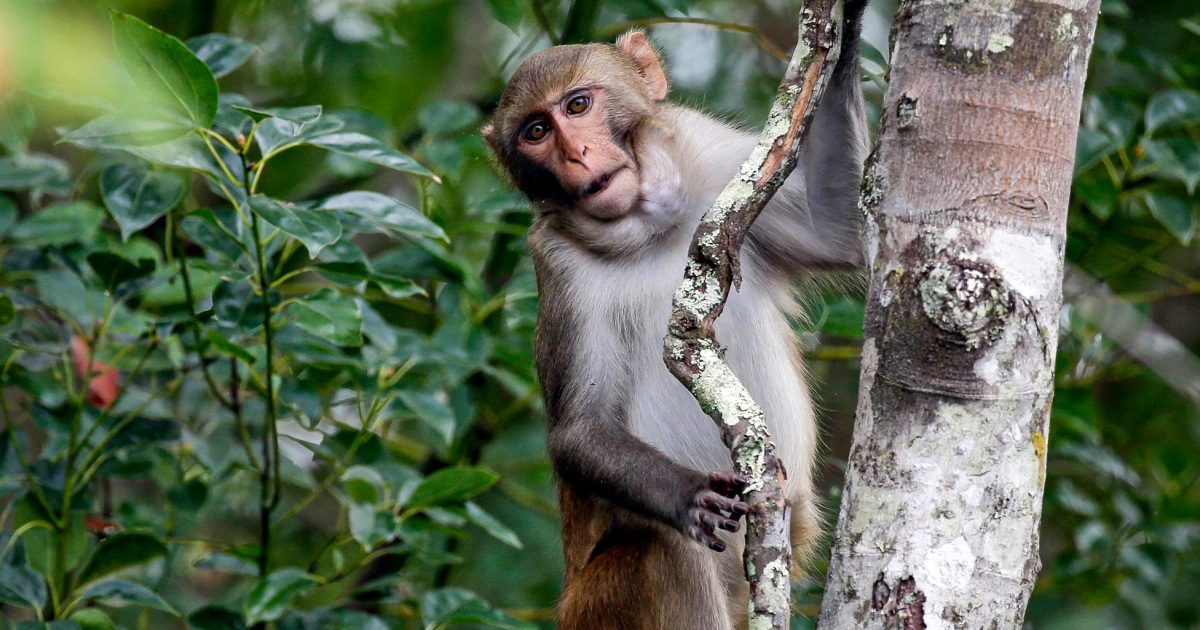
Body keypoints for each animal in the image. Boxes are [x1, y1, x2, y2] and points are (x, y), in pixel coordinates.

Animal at [482, 2, 868, 628]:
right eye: (536, 132)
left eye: (577, 106)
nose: (576, 154)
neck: (649, 229)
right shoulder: (559, 267)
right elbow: (581, 428)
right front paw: (687, 496)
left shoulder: (716, 158)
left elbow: (841, 232)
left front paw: (849, 22)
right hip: (597, 605)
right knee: (663, 550)